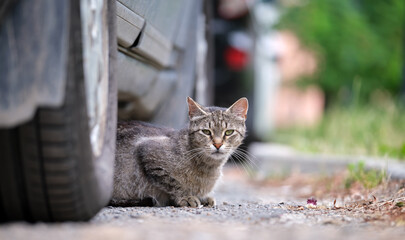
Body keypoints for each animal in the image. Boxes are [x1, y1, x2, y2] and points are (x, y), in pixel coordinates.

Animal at [112, 96, 248, 207]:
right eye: (206, 132)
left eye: (229, 132)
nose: (218, 144)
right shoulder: (148, 151)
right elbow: (173, 183)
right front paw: (186, 196)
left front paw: (202, 197)